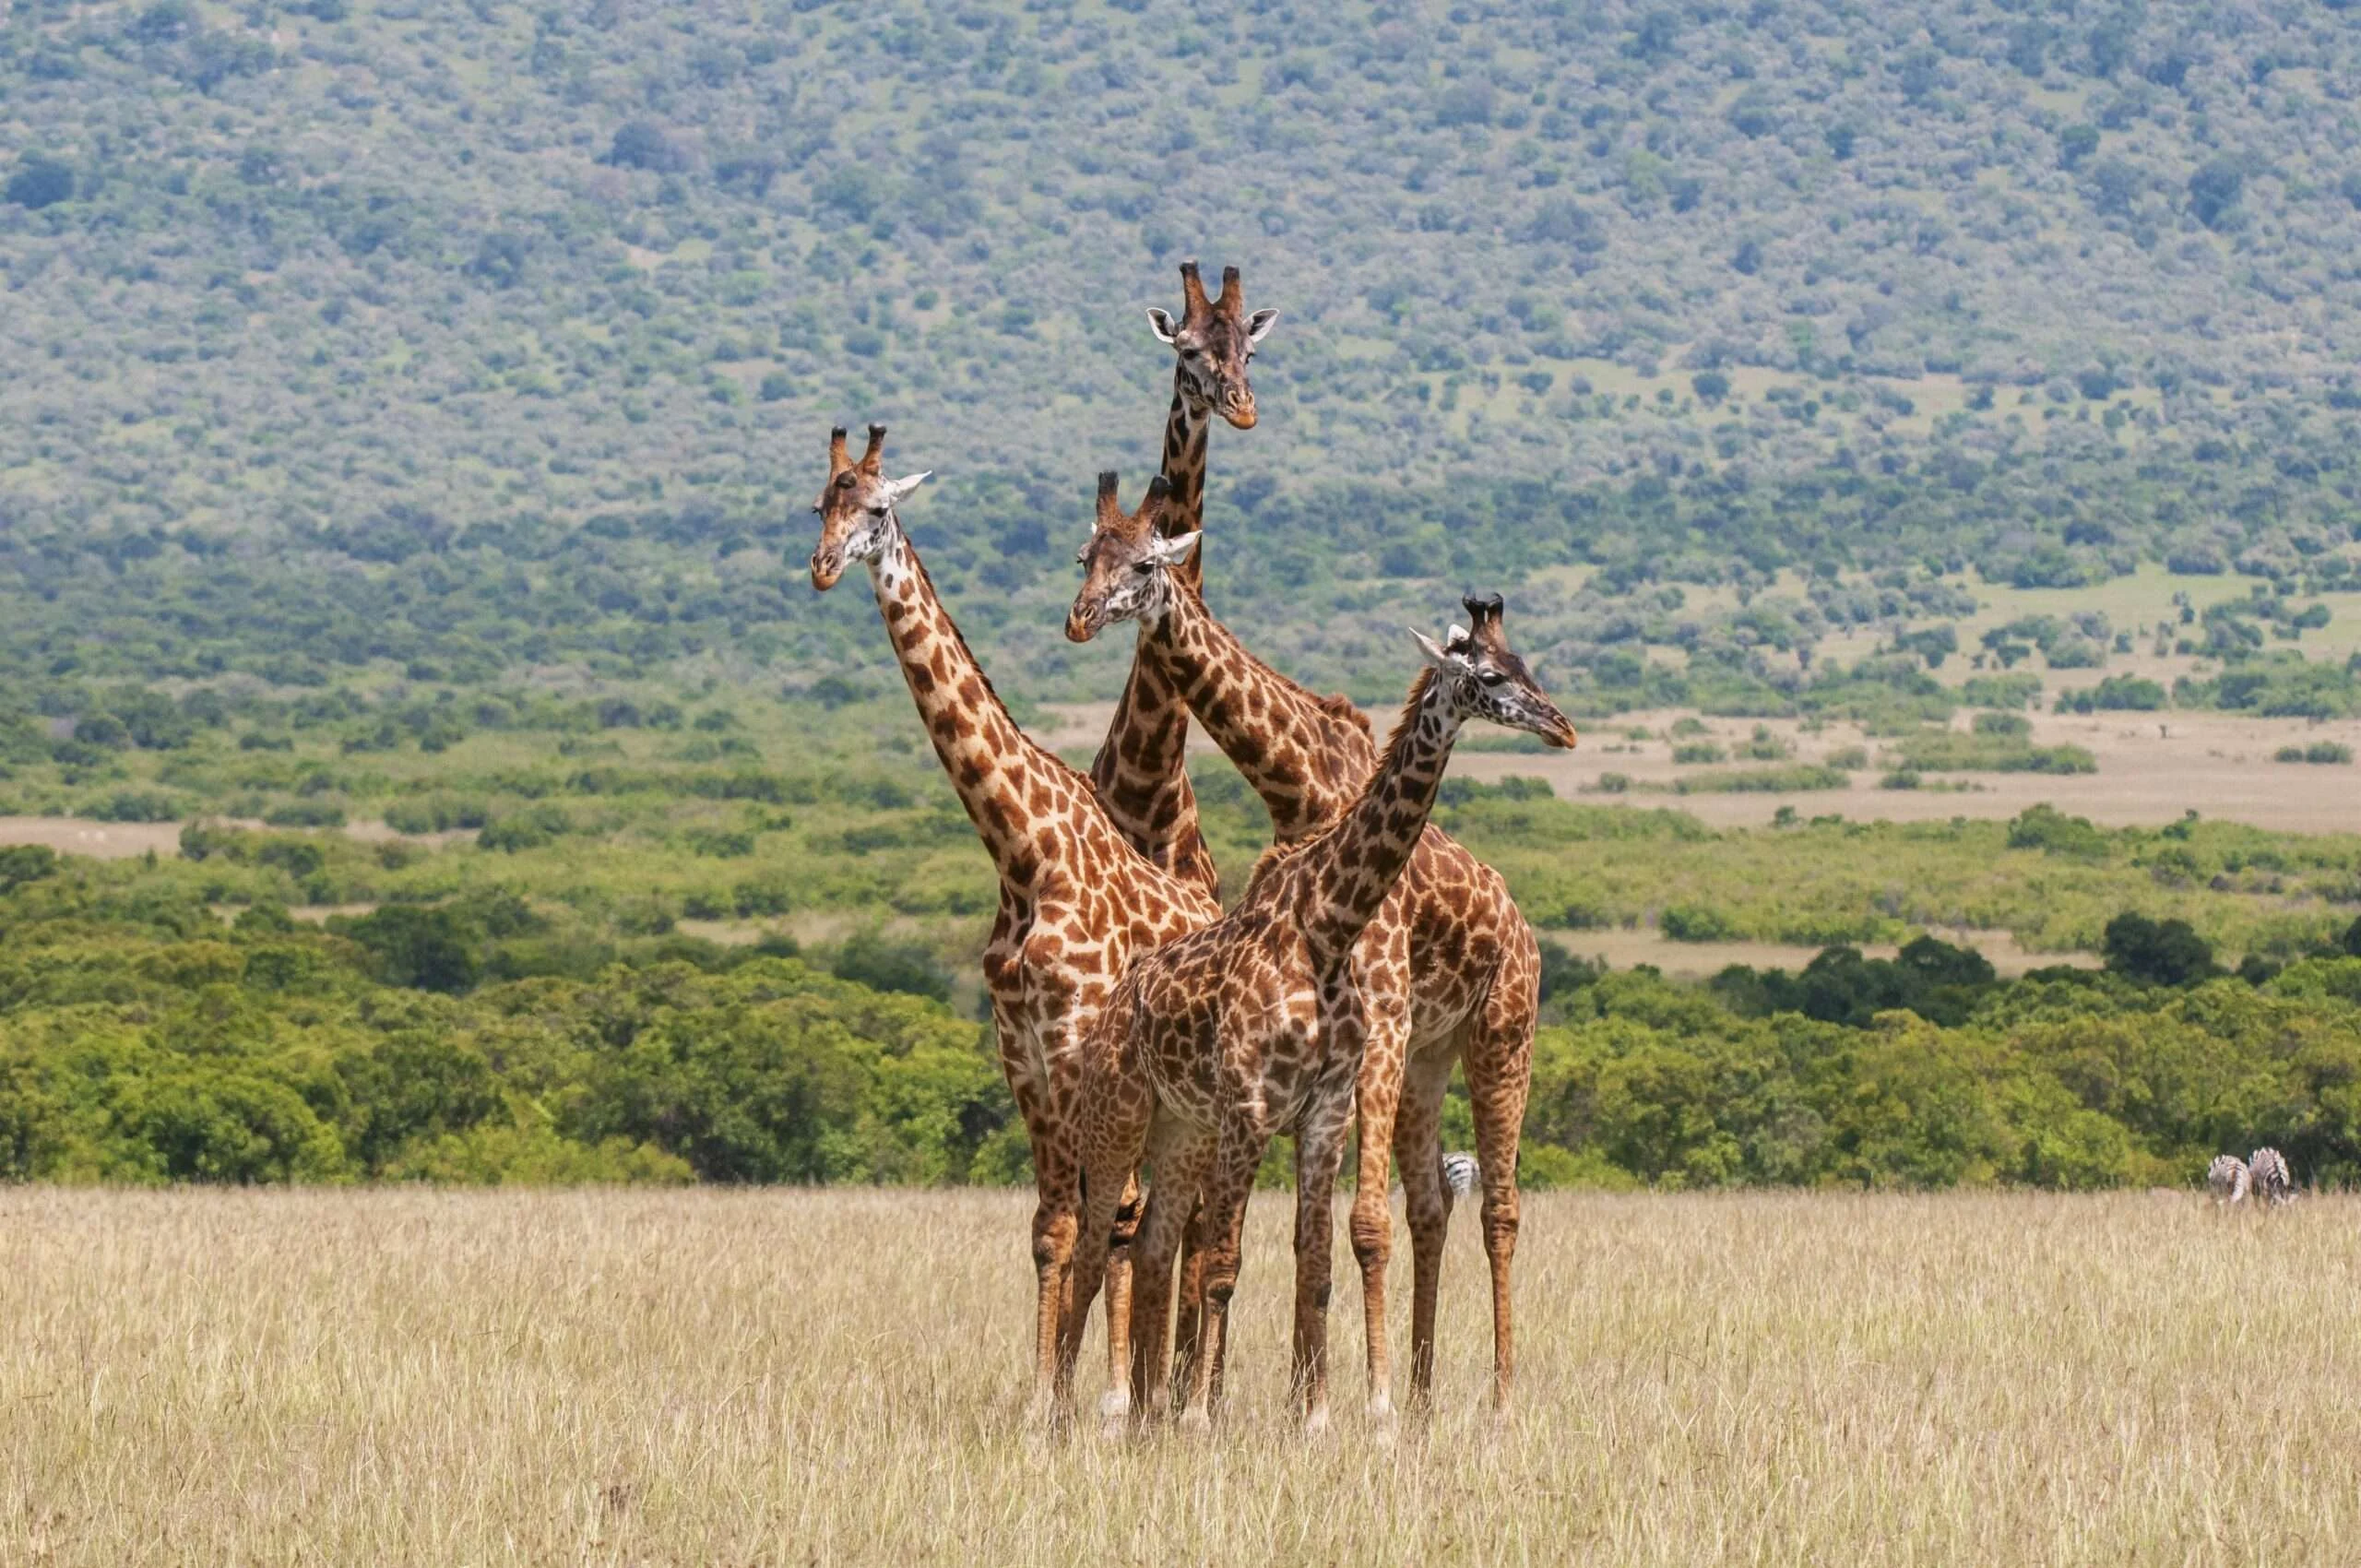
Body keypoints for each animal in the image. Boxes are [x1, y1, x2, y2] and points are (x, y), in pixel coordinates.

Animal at [806, 426, 1219, 1419]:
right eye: (819, 505)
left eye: (875, 507)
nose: (824, 567)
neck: (1023, 850)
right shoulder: (1022, 1058)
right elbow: (1049, 1228)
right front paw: (1047, 1395)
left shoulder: (1074, 1052)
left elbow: (1093, 1225)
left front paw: (1084, 1399)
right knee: (1161, 1221)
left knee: (1175, 1227)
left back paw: (1171, 1394)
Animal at [1068, 480, 1560, 1417]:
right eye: (1087, 557)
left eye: (1145, 563)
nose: (1563, 726)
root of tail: (1520, 922)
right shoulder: (1325, 1071)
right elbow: (1293, 1245)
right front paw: (1299, 1402)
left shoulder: (1372, 1032)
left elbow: (1341, 1233)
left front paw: (1334, 1405)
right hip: (1427, 1058)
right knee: (1429, 1205)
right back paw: (1422, 1393)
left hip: (1499, 1036)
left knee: (1498, 1210)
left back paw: (1498, 1397)